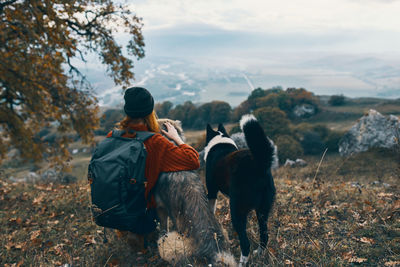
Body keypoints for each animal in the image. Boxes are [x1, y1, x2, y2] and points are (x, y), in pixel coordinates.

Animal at [205, 115, 276, 267]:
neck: (220, 142)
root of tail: (258, 164)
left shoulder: (212, 191)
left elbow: (210, 209)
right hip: (263, 210)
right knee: (264, 235)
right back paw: (259, 253)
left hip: (237, 210)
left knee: (245, 243)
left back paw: (242, 262)